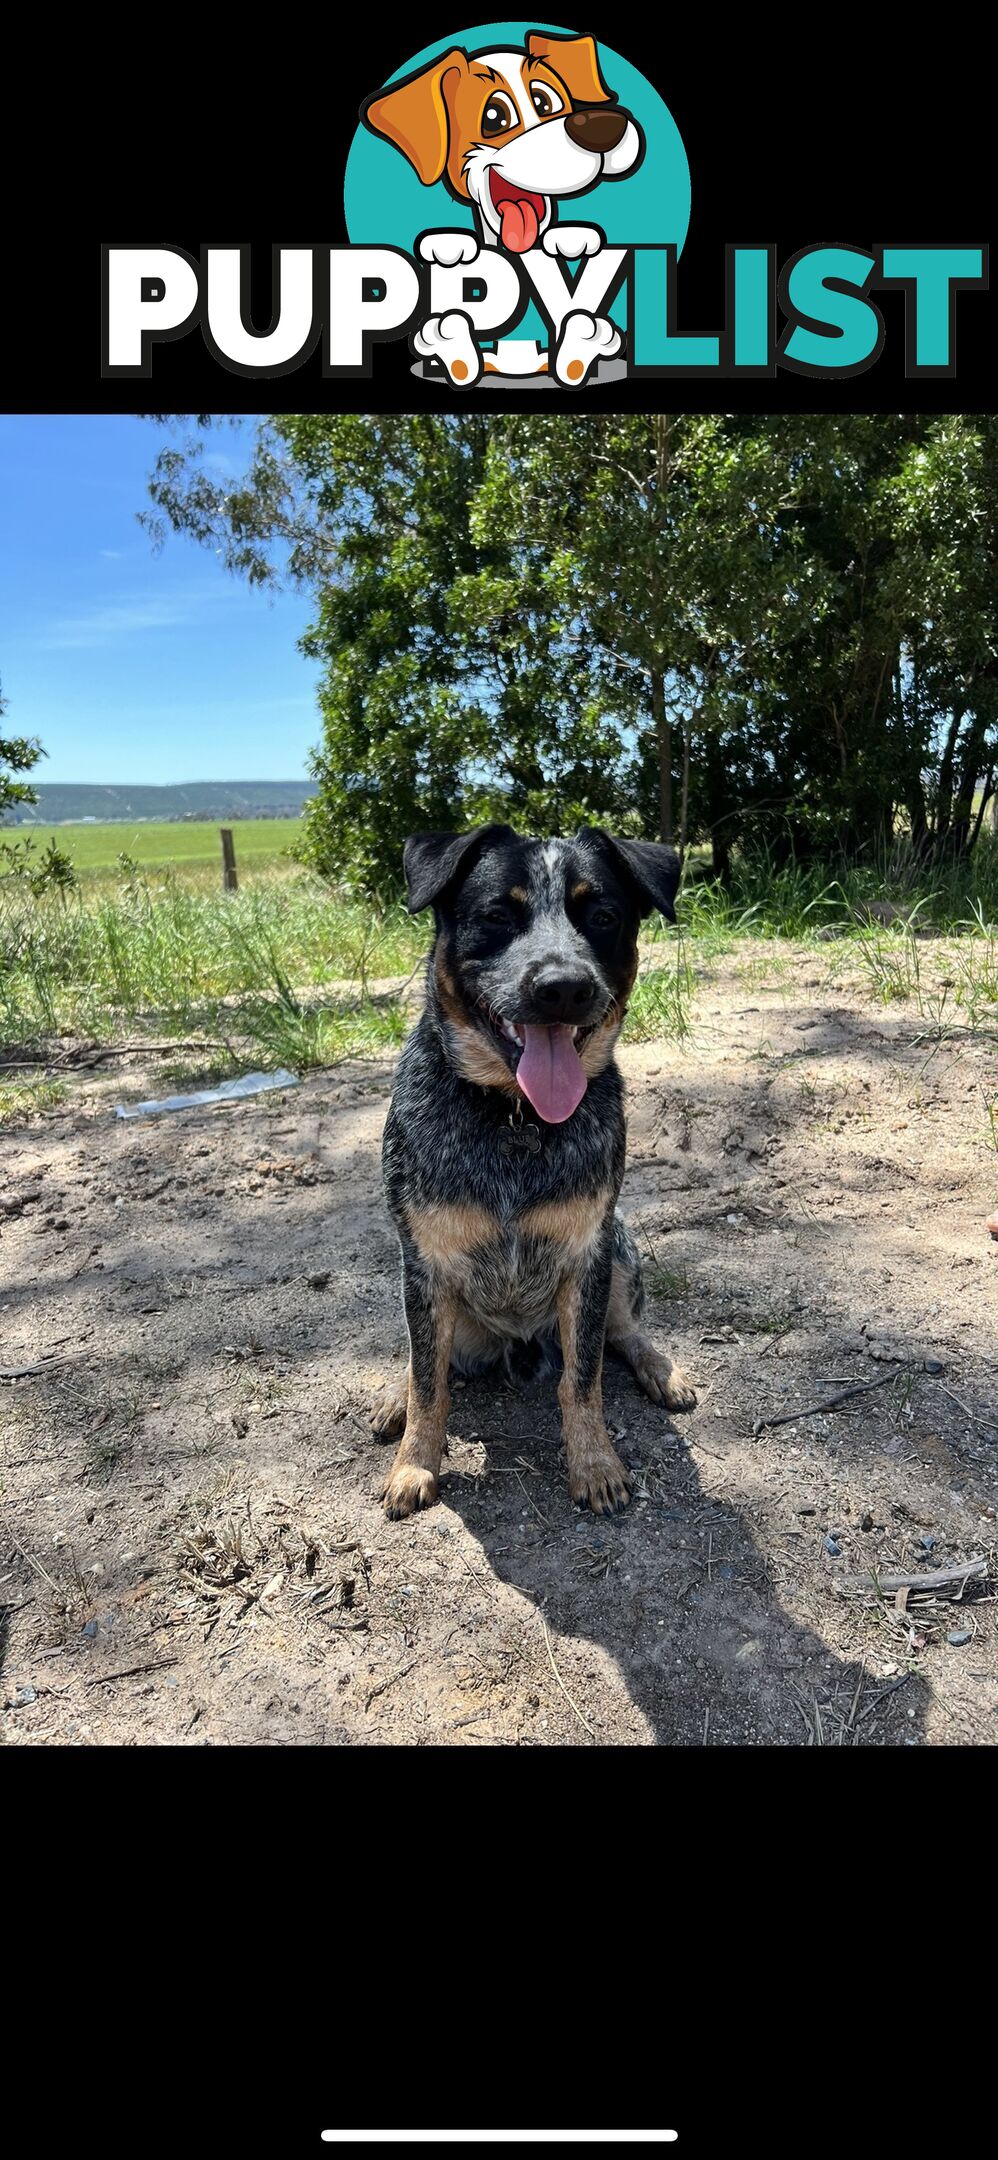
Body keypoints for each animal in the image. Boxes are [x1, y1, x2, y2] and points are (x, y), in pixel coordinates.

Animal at [373, 825, 695, 1520]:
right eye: (498, 915)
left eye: (602, 916)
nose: (563, 987)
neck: (515, 1117)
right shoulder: (424, 1265)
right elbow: (428, 1381)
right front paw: (414, 1465)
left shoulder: (588, 1254)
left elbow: (583, 1379)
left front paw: (596, 1465)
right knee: (423, 1360)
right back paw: (392, 1393)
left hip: (621, 1247)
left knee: (623, 1334)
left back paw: (663, 1369)